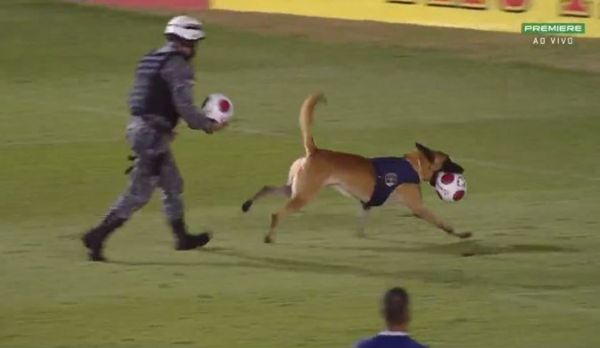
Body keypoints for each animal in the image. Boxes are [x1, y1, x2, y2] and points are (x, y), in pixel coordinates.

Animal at [241, 94, 472, 243]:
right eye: (448, 161)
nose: (462, 169)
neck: (413, 165)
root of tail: (314, 151)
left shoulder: (366, 204)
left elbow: (362, 222)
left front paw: (361, 236)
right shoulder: (419, 207)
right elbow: (442, 223)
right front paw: (460, 234)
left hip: (293, 190)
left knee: (266, 188)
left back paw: (247, 205)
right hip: (303, 196)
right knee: (276, 214)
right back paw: (269, 236)